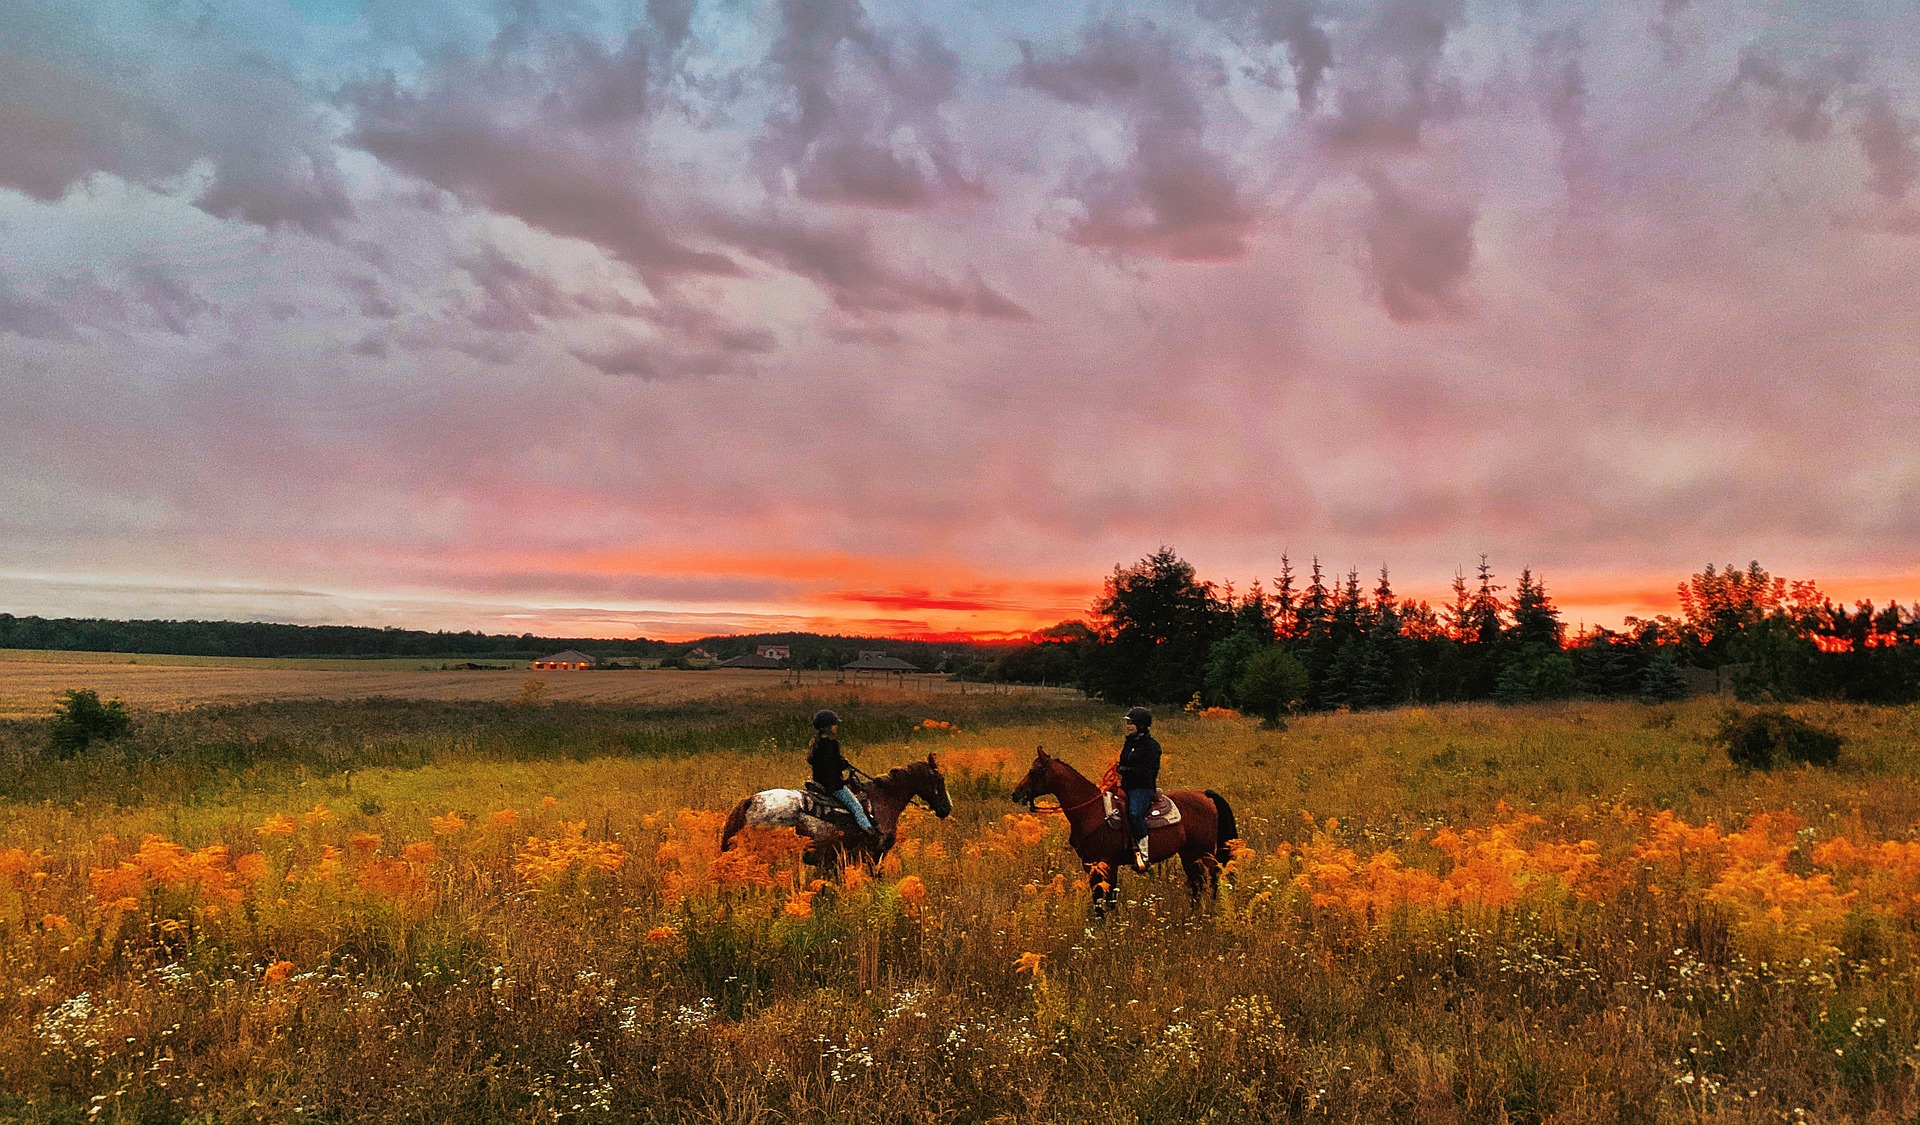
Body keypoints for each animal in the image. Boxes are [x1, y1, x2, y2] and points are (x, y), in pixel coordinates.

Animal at [1013, 744, 1236, 909]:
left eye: (1033, 771)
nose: (1016, 793)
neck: (1091, 811)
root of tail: (1205, 795)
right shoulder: (1090, 864)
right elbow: (1099, 899)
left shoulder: (1108, 864)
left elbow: (1107, 899)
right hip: (1189, 854)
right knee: (1198, 884)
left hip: (1203, 853)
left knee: (1213, 879)